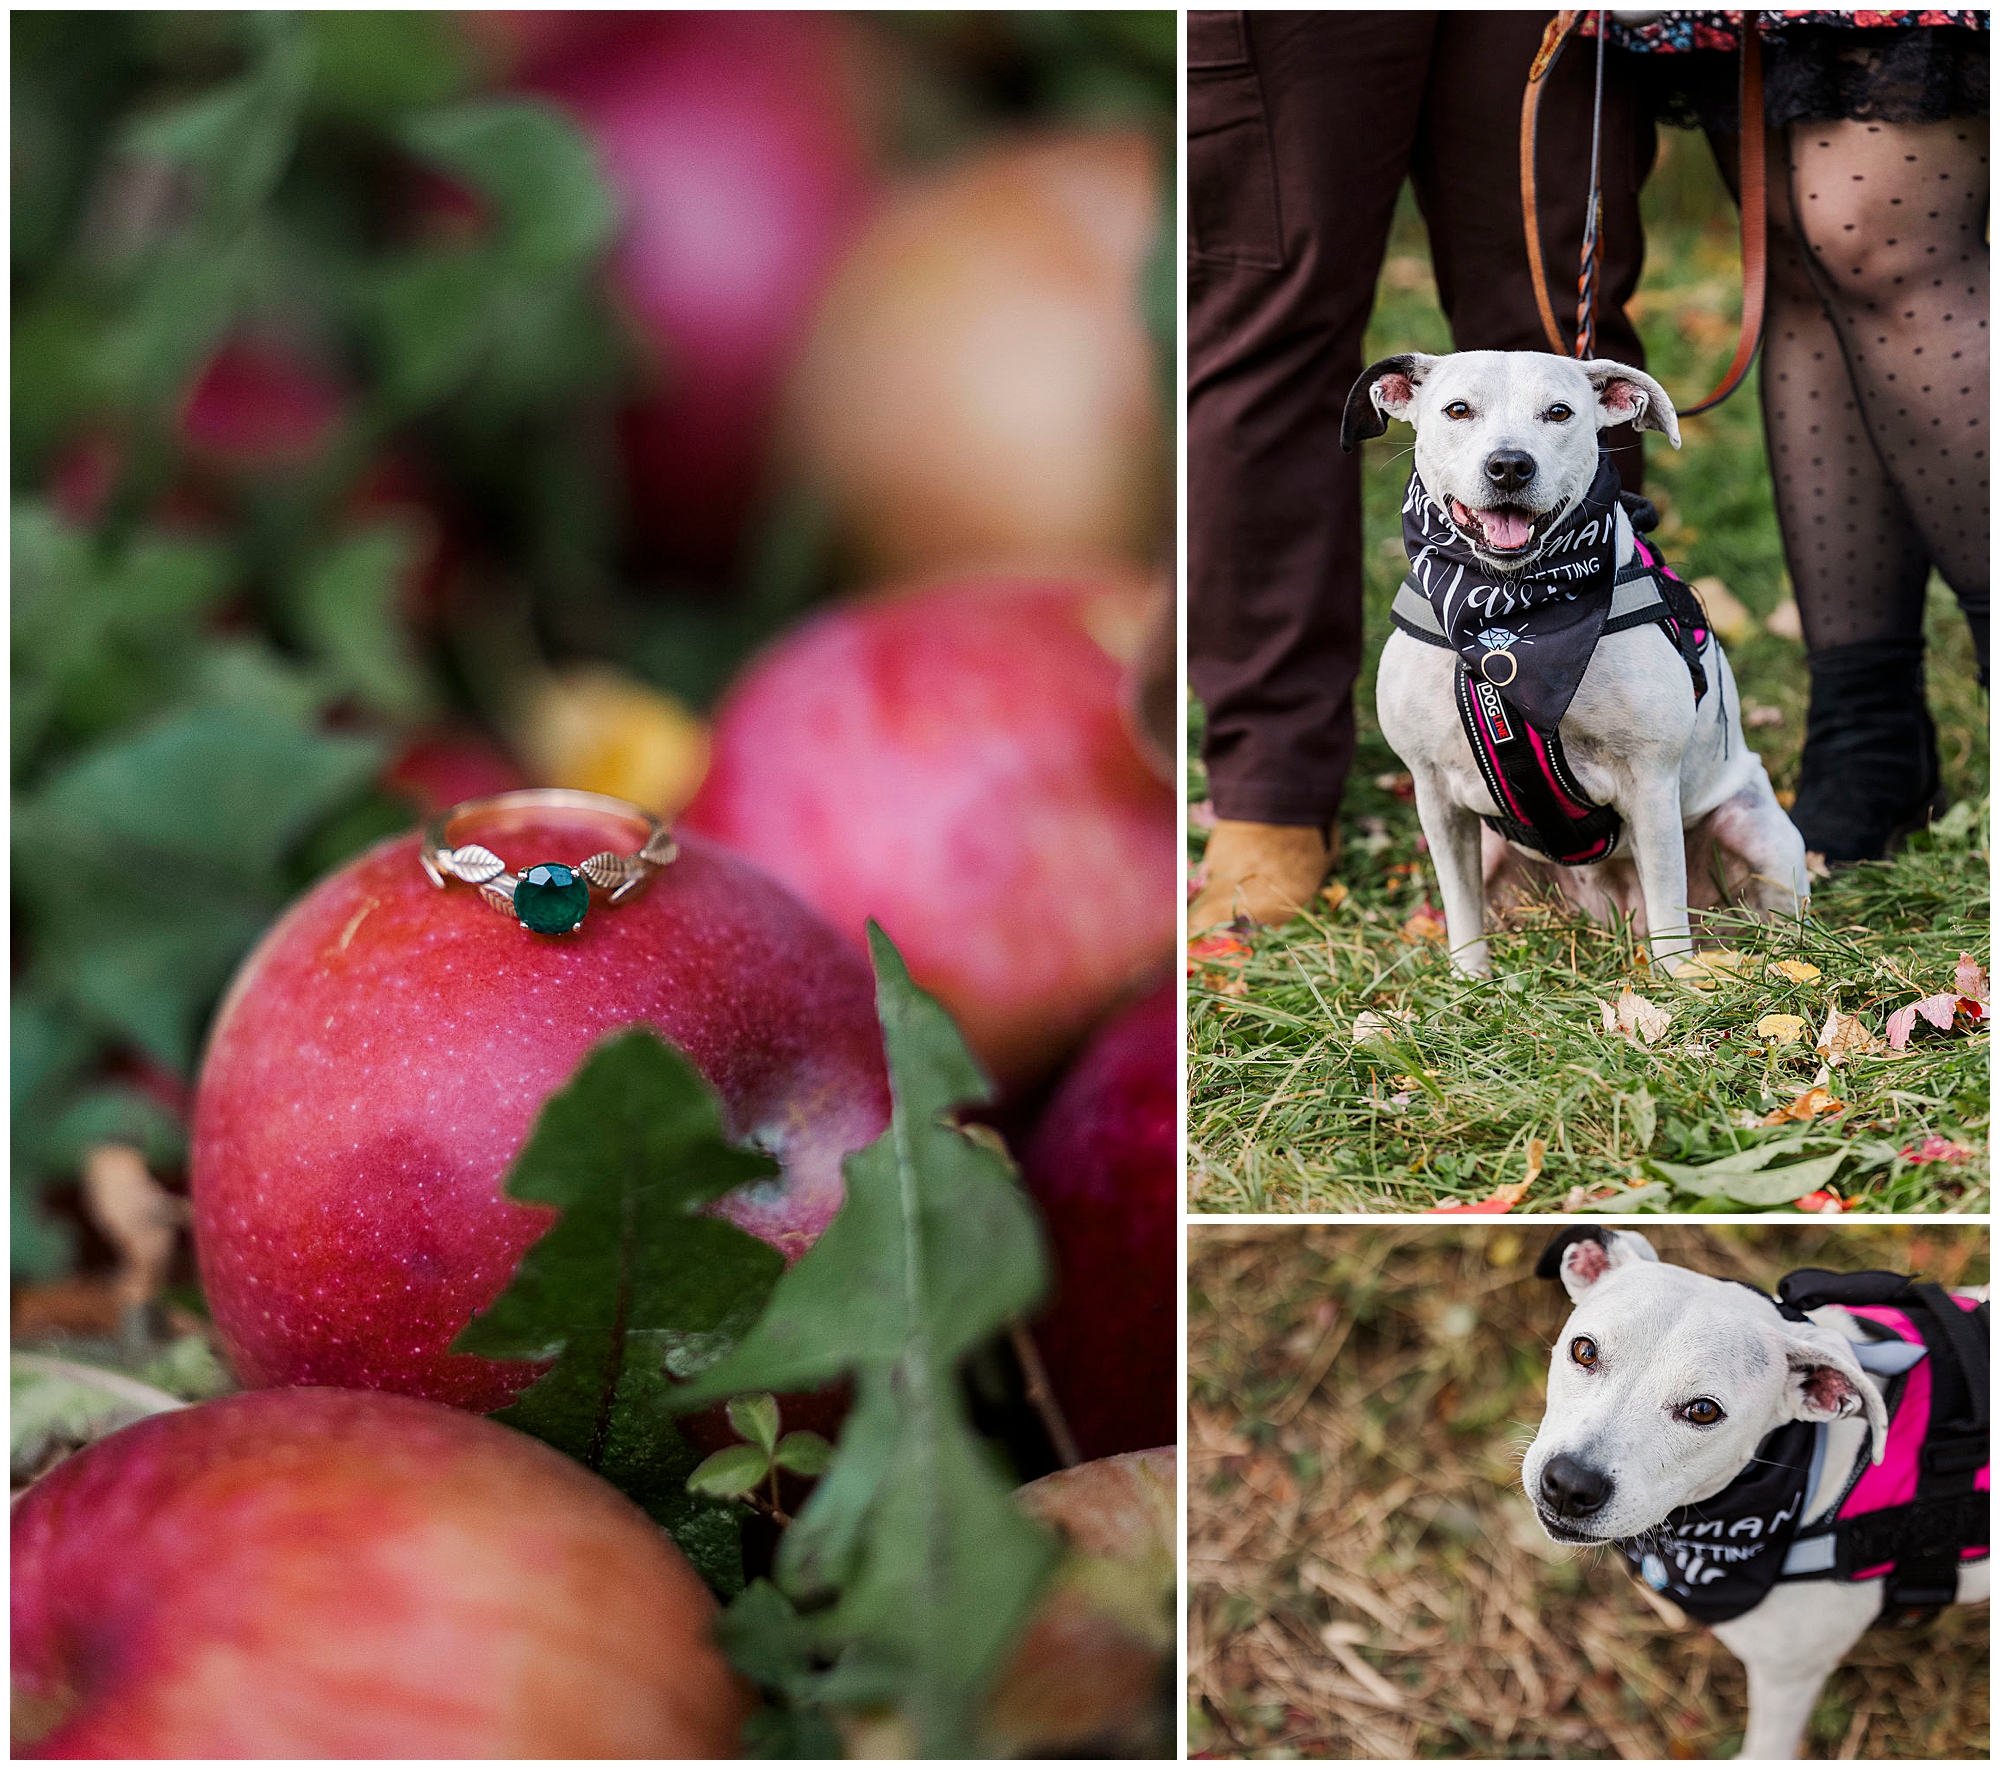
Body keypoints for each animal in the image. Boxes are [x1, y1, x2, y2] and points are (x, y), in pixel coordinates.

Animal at [1344, 350, 1816, 972]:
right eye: (1458, 410)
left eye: (1559, 412)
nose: (1510, 465)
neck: (1504, 613)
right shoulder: (1435, 793)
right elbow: (1462, 906)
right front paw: (1470, 980)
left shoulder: (1651, 783)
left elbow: (1669, 911)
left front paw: (1676, 988)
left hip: (1757, 830)